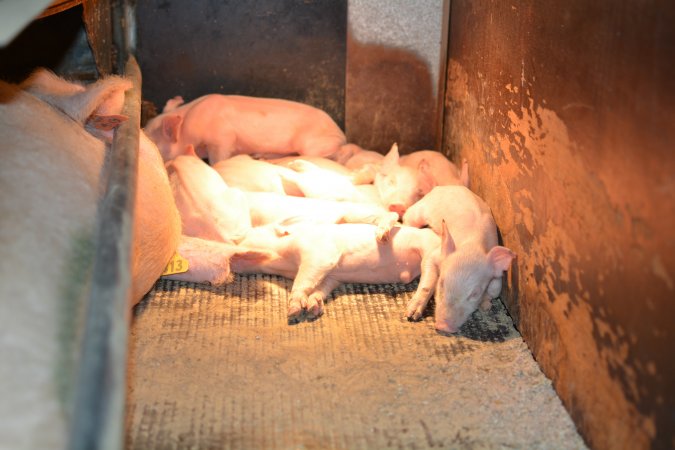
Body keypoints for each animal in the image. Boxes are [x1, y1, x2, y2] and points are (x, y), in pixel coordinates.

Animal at [402, 184, 516, 334]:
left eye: (475, 293)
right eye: (441, 283)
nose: (443, 327)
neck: (471, 247)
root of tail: (447, 186)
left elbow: (495, 289)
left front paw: (485, 306)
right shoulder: (436, 255)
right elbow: (427, 280)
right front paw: (411, 315)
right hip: (421, 209)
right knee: (408, 218)